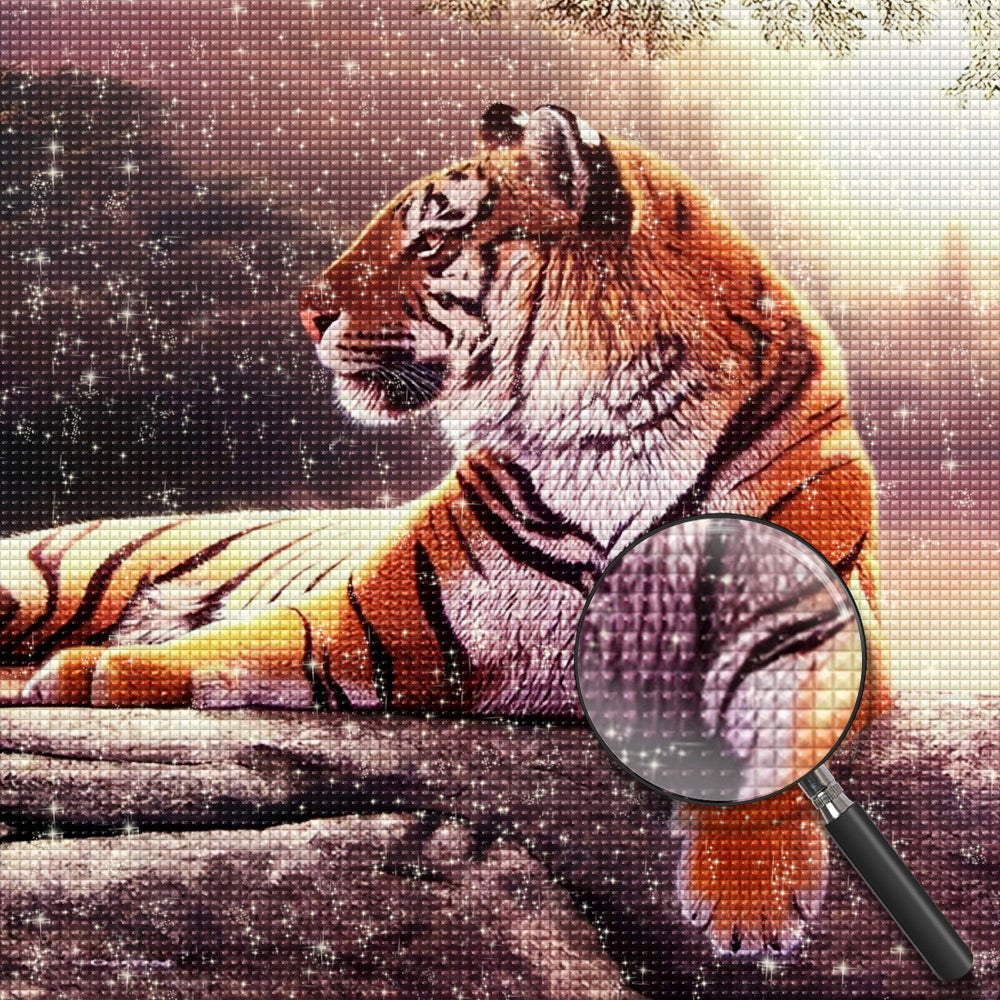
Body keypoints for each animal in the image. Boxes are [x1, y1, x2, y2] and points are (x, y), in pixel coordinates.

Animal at [0, 102, 887, 957]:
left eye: (431, 238)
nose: (307, 313)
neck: (613, 436)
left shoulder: (819, 626)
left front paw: (751, 901)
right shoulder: (369, 616)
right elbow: (226, 645)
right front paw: (86, 673)